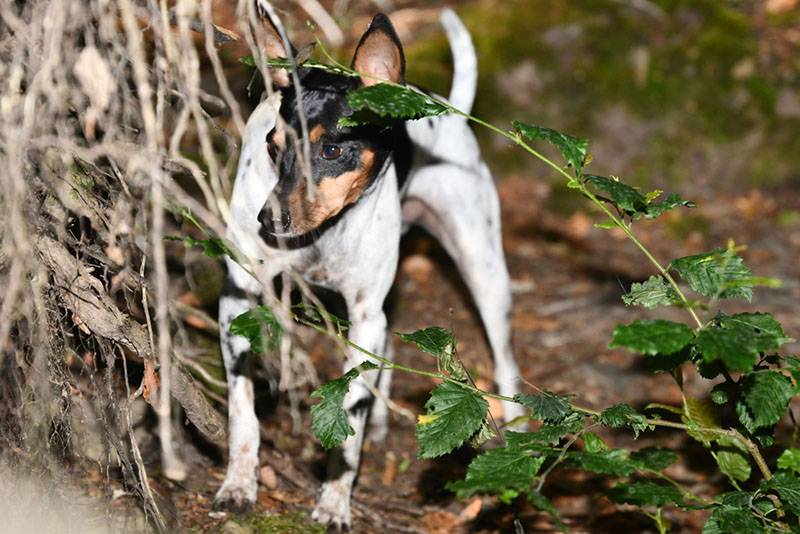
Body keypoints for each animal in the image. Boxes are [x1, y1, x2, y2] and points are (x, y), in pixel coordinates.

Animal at [214, 6, 524, 528]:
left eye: (332, 151)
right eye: (274, 146)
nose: (267, 221)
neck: (321, 237)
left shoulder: (363, 316)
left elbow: (349, 418)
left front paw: (335, 501)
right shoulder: (239, 297)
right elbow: (243, 409)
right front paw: (239, 483)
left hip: (484, 270)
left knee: (504, 360)